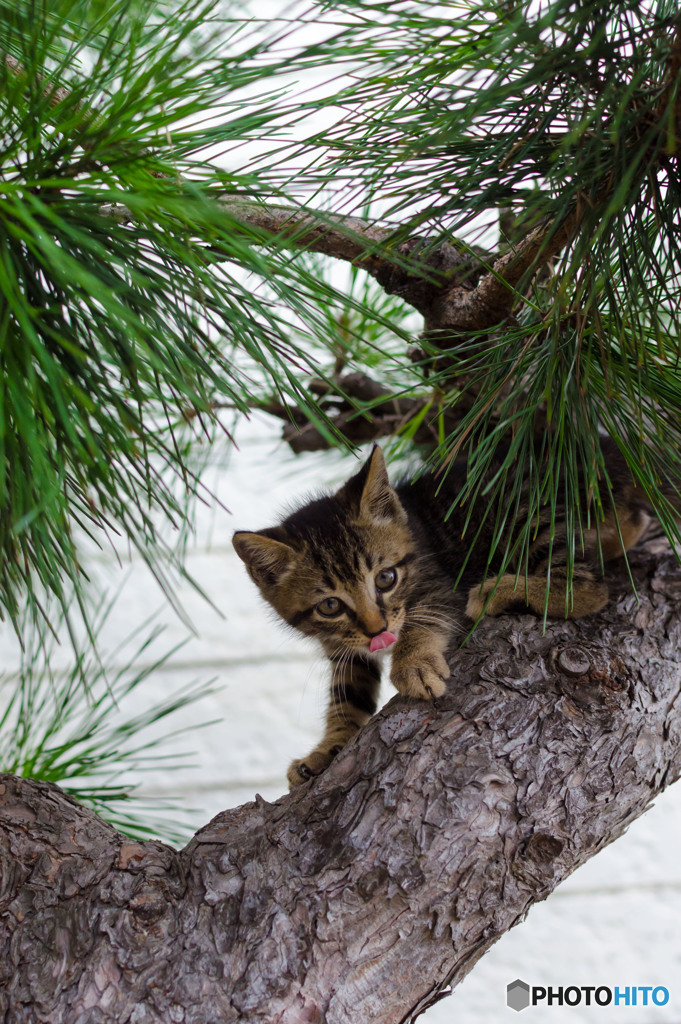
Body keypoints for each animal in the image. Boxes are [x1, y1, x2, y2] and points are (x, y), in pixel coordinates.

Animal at [232, 444, 647, 786]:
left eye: (386, 578)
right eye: (330, 606)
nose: (378, 630)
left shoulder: (440, 586)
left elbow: (422, 619)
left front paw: (412, 663)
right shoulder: (344, 646)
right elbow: (347, 694)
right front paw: (328, 749)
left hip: (529, 515)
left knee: (588, 586)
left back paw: (499, 591)